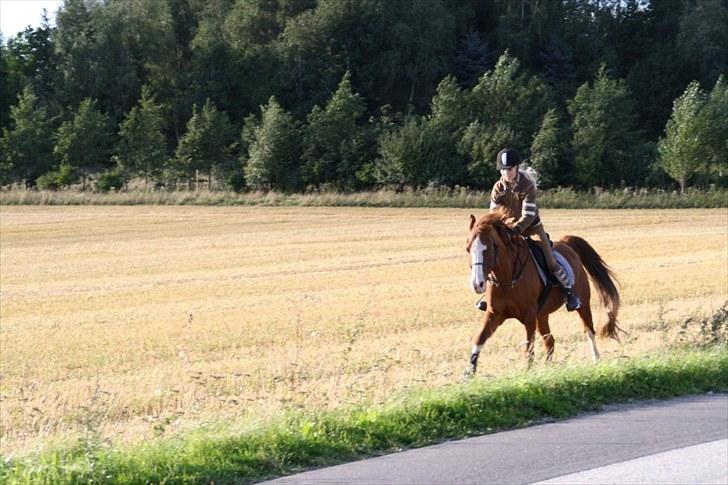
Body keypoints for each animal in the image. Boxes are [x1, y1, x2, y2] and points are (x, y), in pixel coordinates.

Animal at [466, 209, 620, 374]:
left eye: (489, 248)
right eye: (468, 248)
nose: (477, 284)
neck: (507, 280)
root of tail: (566, 244)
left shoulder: (529, 316)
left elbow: (529, 350)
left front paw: (528, 372)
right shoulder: (494, 314)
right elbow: (479, 340)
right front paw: (469, 373)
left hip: (583, 303)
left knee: (588, 330)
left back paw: (596, 360)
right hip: (542, 315)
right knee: (550, 341)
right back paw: (548, 369)